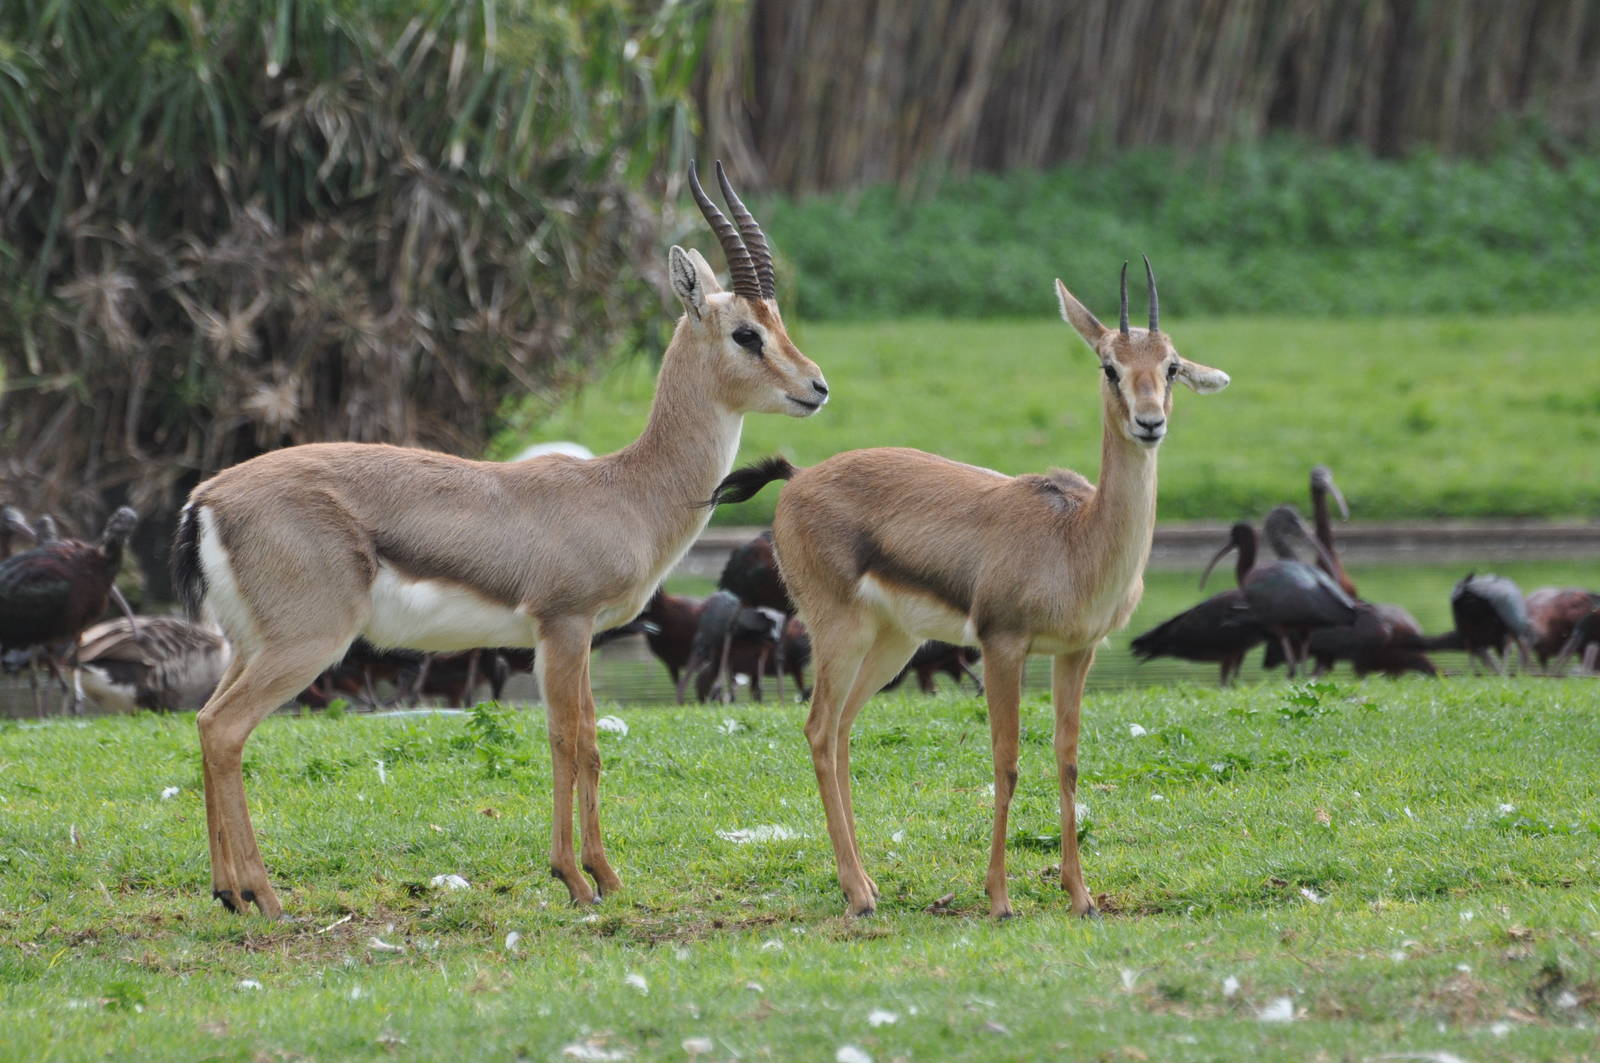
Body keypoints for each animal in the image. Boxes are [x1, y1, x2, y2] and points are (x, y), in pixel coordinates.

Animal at [170, 163, 827, 918]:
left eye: (778, 323)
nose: (817, 387)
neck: (624, 488)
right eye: (747, 333)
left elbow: (586, 738)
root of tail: (207, 498)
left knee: (205, 723)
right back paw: (267, 897)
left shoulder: (577, 636)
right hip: (305, 645)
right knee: (226, 729)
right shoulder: (563, 627)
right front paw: (578, 877)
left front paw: (604, 876)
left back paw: (229, 891)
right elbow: (570, 740)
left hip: (250, 646)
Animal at [711, 260, 1228, 919]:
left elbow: (1067, 761)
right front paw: (1000, 898)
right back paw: (857, 893)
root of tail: (798, 477)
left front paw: (1081, 896)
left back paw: (868, 882)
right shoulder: (1001, 645)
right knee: (819, 730)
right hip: (840, 634)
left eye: (1171, 366)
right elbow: (1006, 762)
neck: (1076, 541)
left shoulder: (1076, 652)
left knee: (843, 730)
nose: (1150, 423)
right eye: (1109, 365)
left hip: (891, 646)